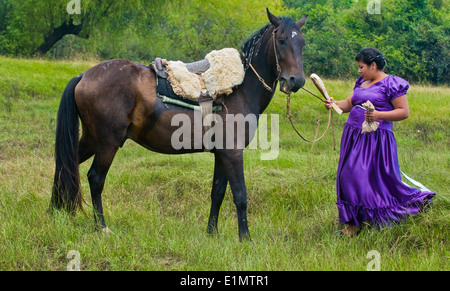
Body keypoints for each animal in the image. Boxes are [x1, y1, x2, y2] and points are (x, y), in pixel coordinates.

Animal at [51, 9, 308, 242]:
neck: (240, 87)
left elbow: (217, 192)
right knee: (95, 178)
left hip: (91, 140)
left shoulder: (222, 154)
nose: (296, 81)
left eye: (302, 43)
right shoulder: (233, 153)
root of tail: (84, 76)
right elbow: (240, 195)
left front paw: (212, 232)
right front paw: (245, 238)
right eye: (282, 40)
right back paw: (101, 226)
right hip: (107, 143)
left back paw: (55, 211)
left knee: (65, 165)